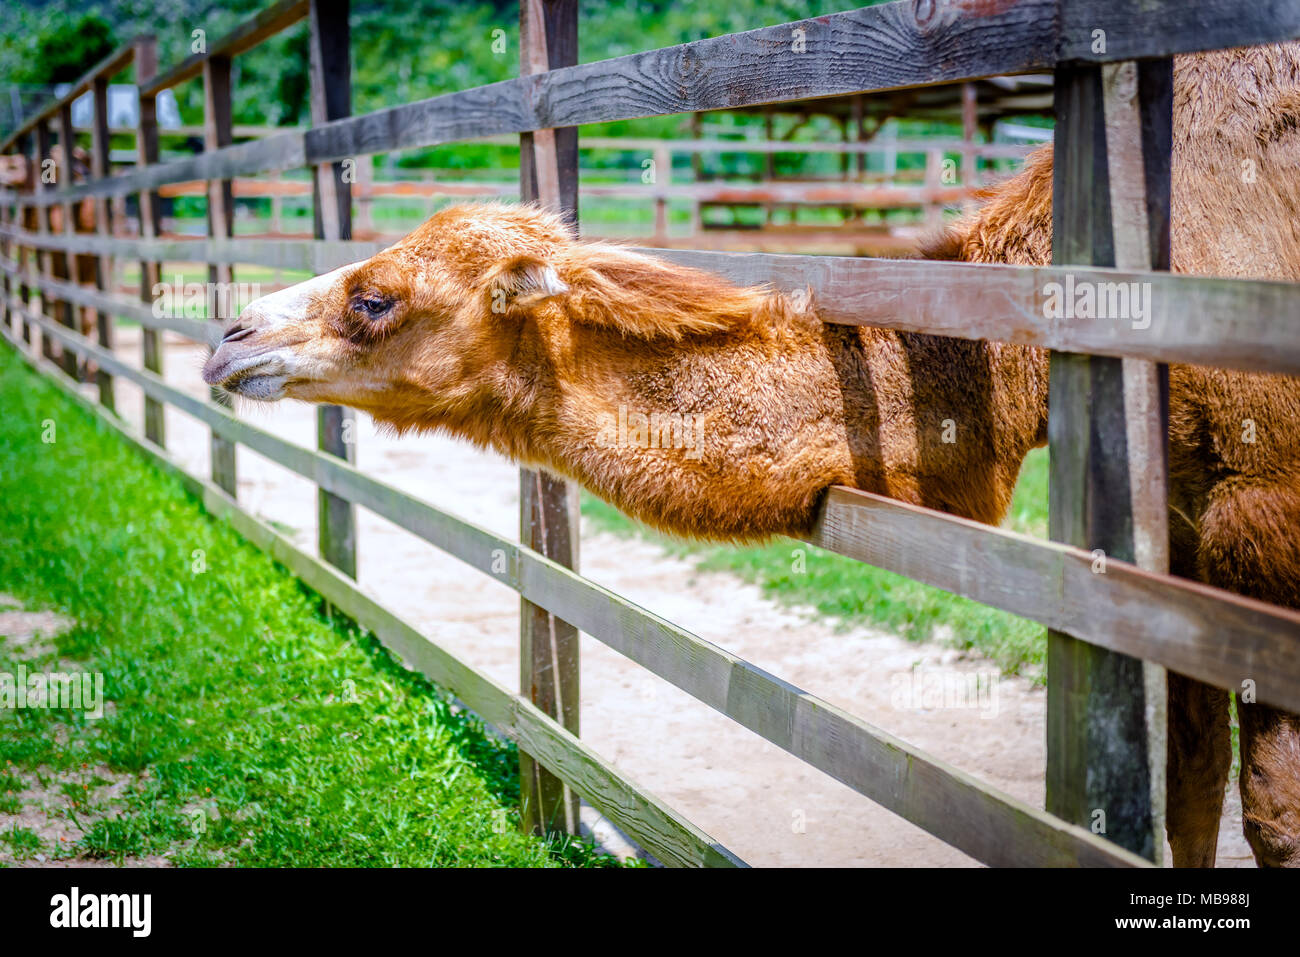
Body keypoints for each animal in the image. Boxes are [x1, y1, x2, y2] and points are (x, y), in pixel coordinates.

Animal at [202, 41, 1300, 867]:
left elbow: (1270, 814)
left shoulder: (1264, 511)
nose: (228, 339)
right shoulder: (1172, 544)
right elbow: (1190, 788)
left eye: (375, 298)